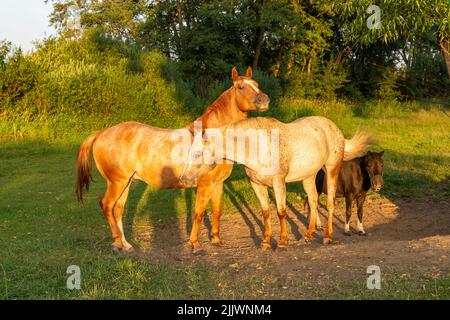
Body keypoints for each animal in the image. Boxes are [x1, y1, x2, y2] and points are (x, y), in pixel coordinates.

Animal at [75, 67, 268, 252]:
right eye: (241, 87)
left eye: (257, 84)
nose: (265, 101)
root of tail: (101, 133)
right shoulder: (205, 184)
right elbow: (198, 213)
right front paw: (195, 244)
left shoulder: (218, 183)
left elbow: (217, 211)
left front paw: (216, 240)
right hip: (117, 182)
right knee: (107, 205)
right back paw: (117, 242)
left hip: (126, 182)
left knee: (118, 210)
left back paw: (125, 245)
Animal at [179, 116, 370, 249]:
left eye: (197, 153)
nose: (184, 179)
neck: (258, 147)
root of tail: (334, 129)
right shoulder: (257, 185)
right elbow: (265, 212)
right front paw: (265, 242)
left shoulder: (279, 183)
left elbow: (281, 211)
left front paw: (282, 242)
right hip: (309, 176)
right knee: (314, 201)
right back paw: (308, 235)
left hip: (331, 170)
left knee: (330, 203)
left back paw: (327, 237)